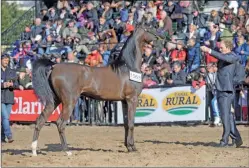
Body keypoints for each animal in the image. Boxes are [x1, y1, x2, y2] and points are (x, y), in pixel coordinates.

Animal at [31, 25, 160, 156]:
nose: (159, 38)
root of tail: (54, 66)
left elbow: (126, 124)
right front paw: (133, 148)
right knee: (60, 123)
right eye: (149, 29)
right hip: (69, 102)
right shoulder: (132, 99)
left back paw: (34, 151)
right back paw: (67, 151)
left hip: (54, 101)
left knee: (40, 120)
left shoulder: (124, 101)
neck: (128, 67)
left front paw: (128, 146)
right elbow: (131, 123)